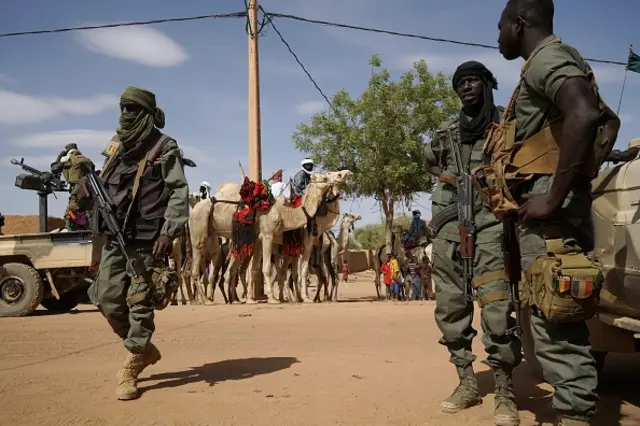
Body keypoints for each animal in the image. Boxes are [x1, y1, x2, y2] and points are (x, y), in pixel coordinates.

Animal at [190, 168, 352, 304]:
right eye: (326, 176)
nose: (347, 172)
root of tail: (194, 210)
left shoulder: (261, 241)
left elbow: (261, 270)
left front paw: (254, 299)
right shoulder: (271, 236)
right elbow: (275, 269)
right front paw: (277, 299)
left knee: (231, 270)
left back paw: (232, 300)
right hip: (199, 231)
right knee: (198, 269)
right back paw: (206, 300)